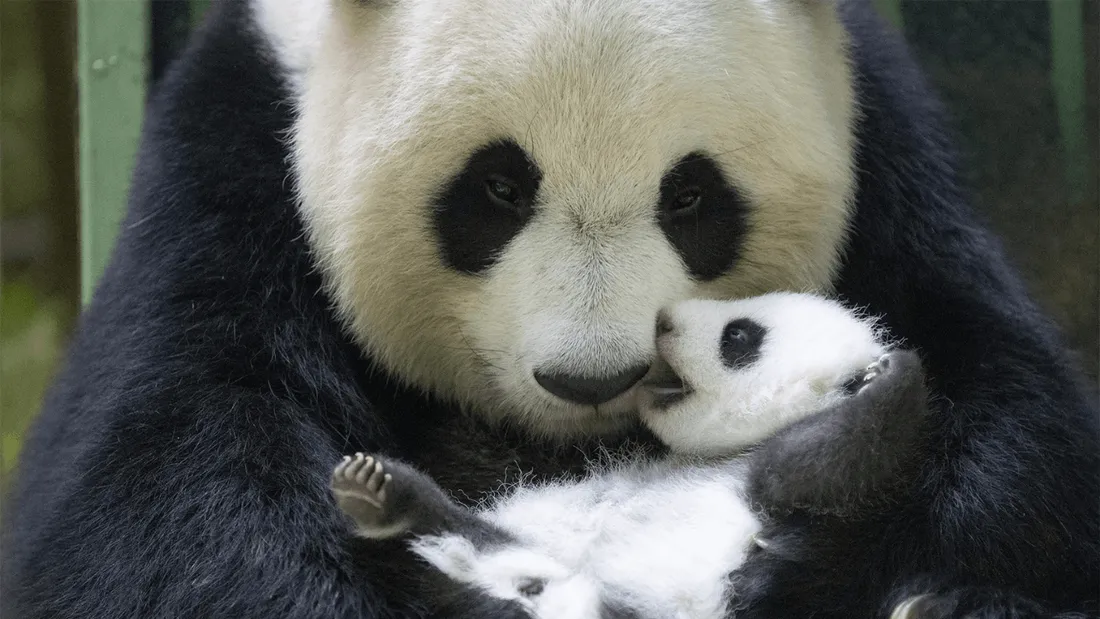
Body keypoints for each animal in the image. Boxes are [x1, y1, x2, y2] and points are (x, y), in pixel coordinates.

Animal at [329, 292, 932, 619]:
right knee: (461, 527)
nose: (663, 318)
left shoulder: (814, 522)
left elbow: (821, 463)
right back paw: (382, 494)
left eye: (739, 336)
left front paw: (895, 376)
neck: (722, 456)